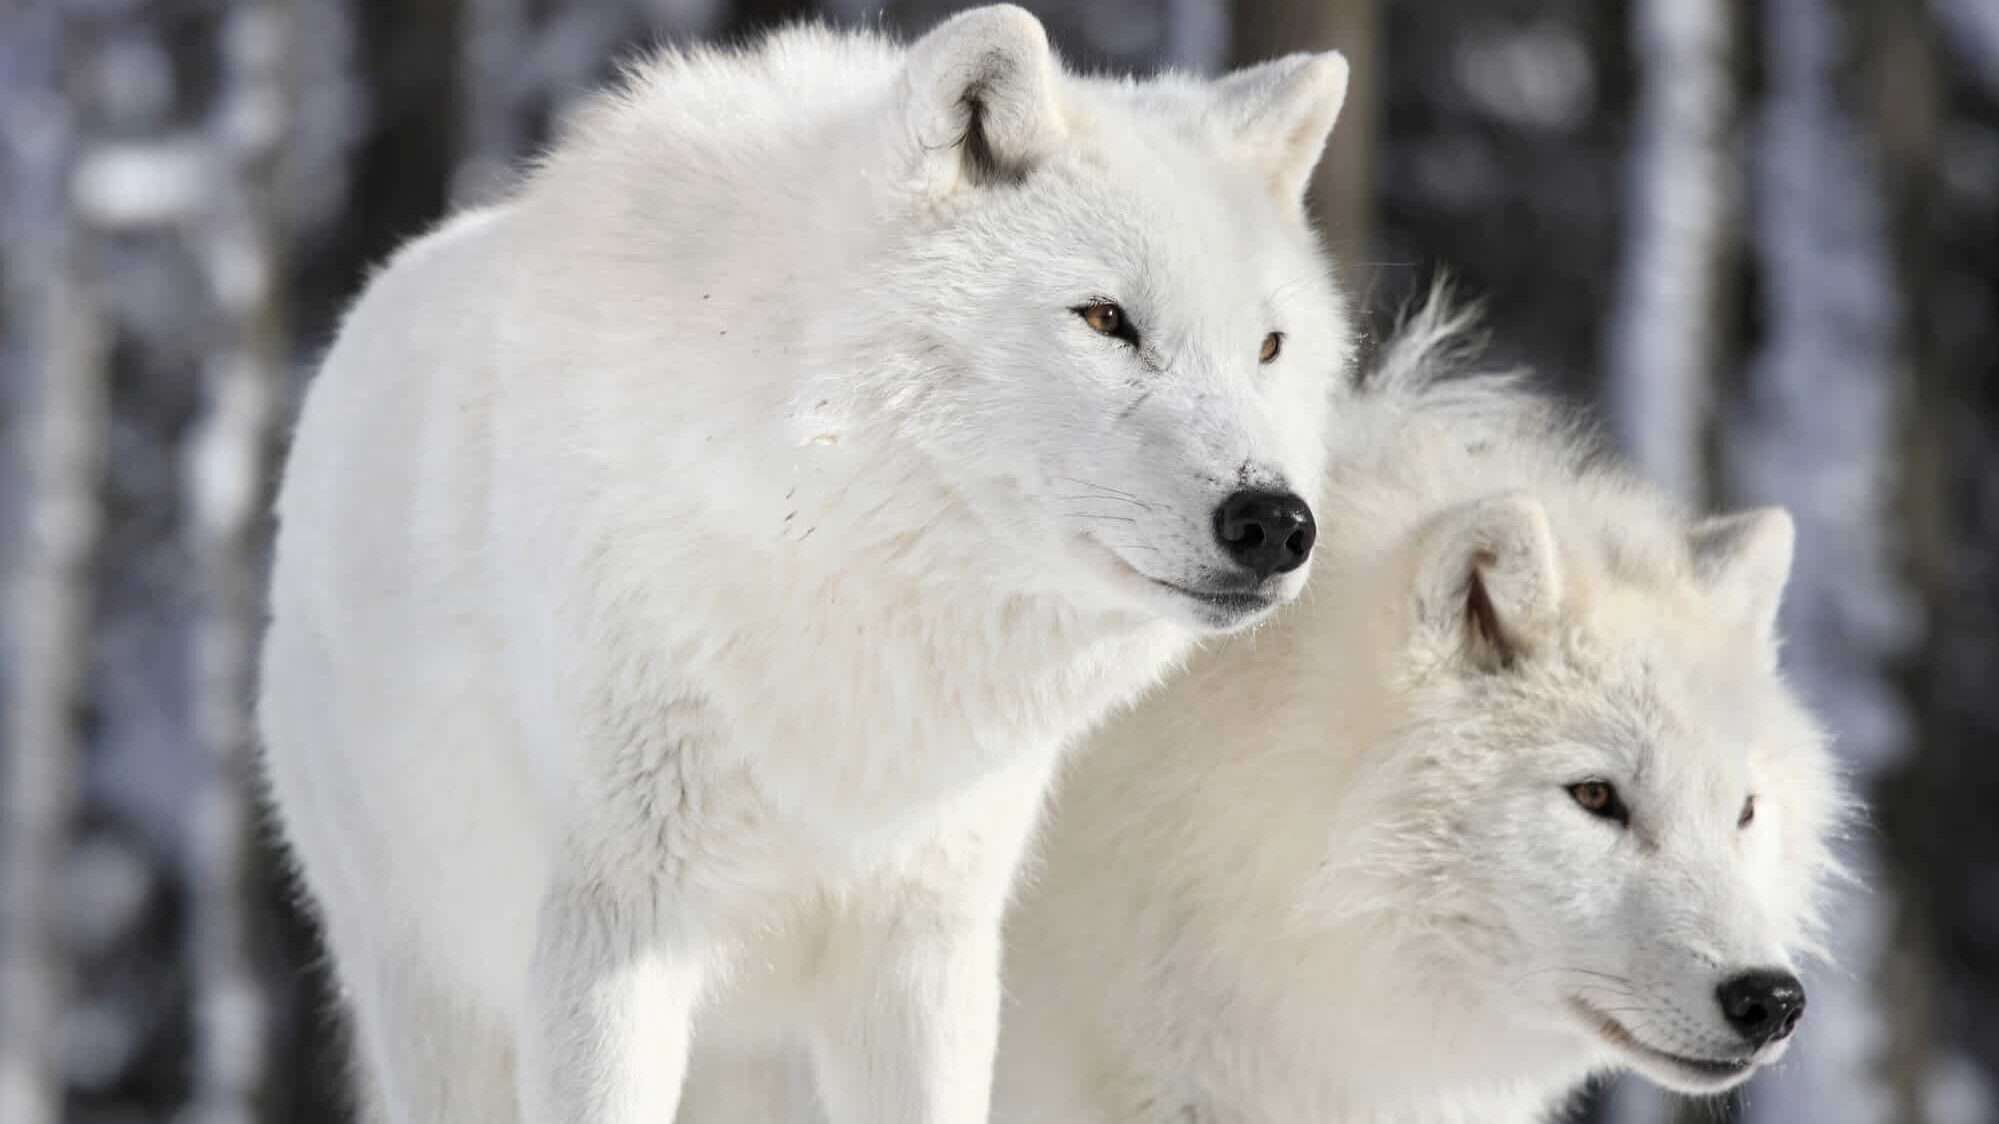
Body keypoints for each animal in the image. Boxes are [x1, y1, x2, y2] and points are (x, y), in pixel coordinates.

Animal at [256, 8, 1353, 1123]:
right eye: (1104, 318)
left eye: (1268, 346)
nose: (1275, 522)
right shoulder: (611, 935)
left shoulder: (926, 948)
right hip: (440, 1007)